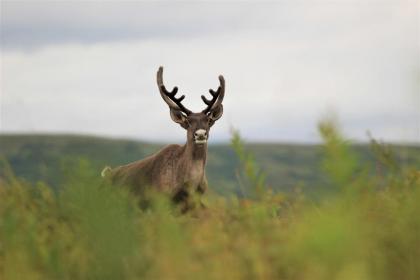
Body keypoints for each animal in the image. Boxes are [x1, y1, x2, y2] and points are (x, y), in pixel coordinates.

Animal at [101, 65, 225, 210]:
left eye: (209, 121)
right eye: (188, 122)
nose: (200, 134)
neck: (190, 185)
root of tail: (106, 174)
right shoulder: (159, 201)